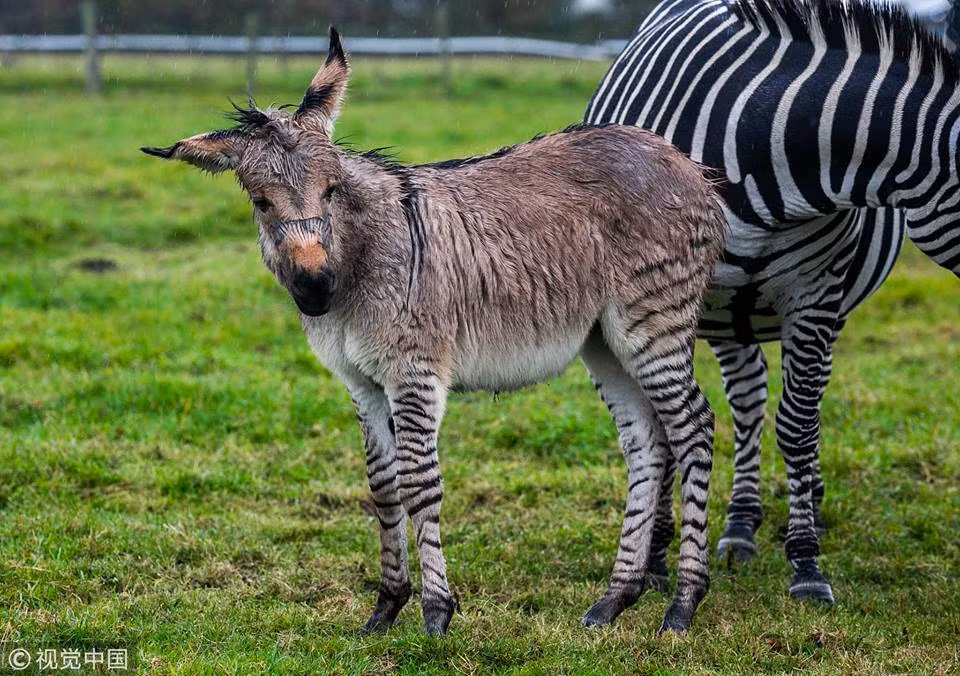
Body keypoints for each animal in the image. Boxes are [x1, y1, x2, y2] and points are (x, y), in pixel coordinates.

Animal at [143, 29, 727, 634]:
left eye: (331, 190)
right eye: (260, 202)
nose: (316, 290)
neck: (359, 257)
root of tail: (687, 165)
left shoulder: (413, 372)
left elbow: (419, 482)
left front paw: (436, 612)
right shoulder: (361, 382)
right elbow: (382, 486)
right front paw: (385, 607)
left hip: (652, 325)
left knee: (692, 426)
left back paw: (684, 602)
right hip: (605, 342)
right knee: (646, 442)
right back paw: (616, 597)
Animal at [586, 0, 960, 605]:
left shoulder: (814, 295)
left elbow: (797, 425)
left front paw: (806, 563)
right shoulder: (665, 295)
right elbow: (670, 422)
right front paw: (656, 561)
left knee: (794, 400)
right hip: (726, 311)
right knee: (748, 397)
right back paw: (740, 525)